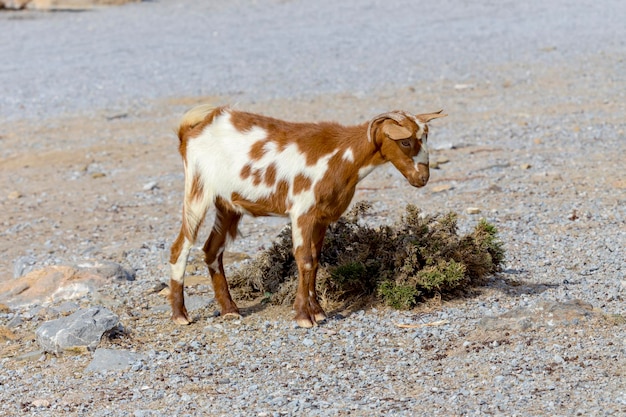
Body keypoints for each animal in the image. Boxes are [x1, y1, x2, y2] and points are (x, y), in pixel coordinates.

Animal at [168, 105, 446, 326]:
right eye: (405, 142)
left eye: (426, 138)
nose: (422, 178)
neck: (341, 155)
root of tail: (191, 131)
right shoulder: (302, 212)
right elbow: (304, 260)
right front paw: (303, 316)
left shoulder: (322, 217)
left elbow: (316, 260)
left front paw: (318, 312)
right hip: (198, 191)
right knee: (181, 247)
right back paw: (180, 315)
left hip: (227, 204)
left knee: (212, 250)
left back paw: (229, 310)